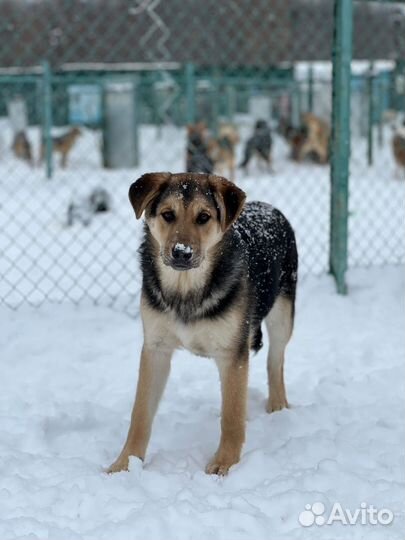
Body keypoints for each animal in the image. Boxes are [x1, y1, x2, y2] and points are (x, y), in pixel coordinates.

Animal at [107, 171, 296, 474]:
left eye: (204, 217)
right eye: (168, 214)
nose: (181, 252)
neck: (185, 290)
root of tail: (268, 206)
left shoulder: (232, 353)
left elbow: (231, 416)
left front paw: (225, 463)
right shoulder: (155, 349)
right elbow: (140, 413)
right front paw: (126, 463)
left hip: (282, 314)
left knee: (275, 361)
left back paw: (277, 406)